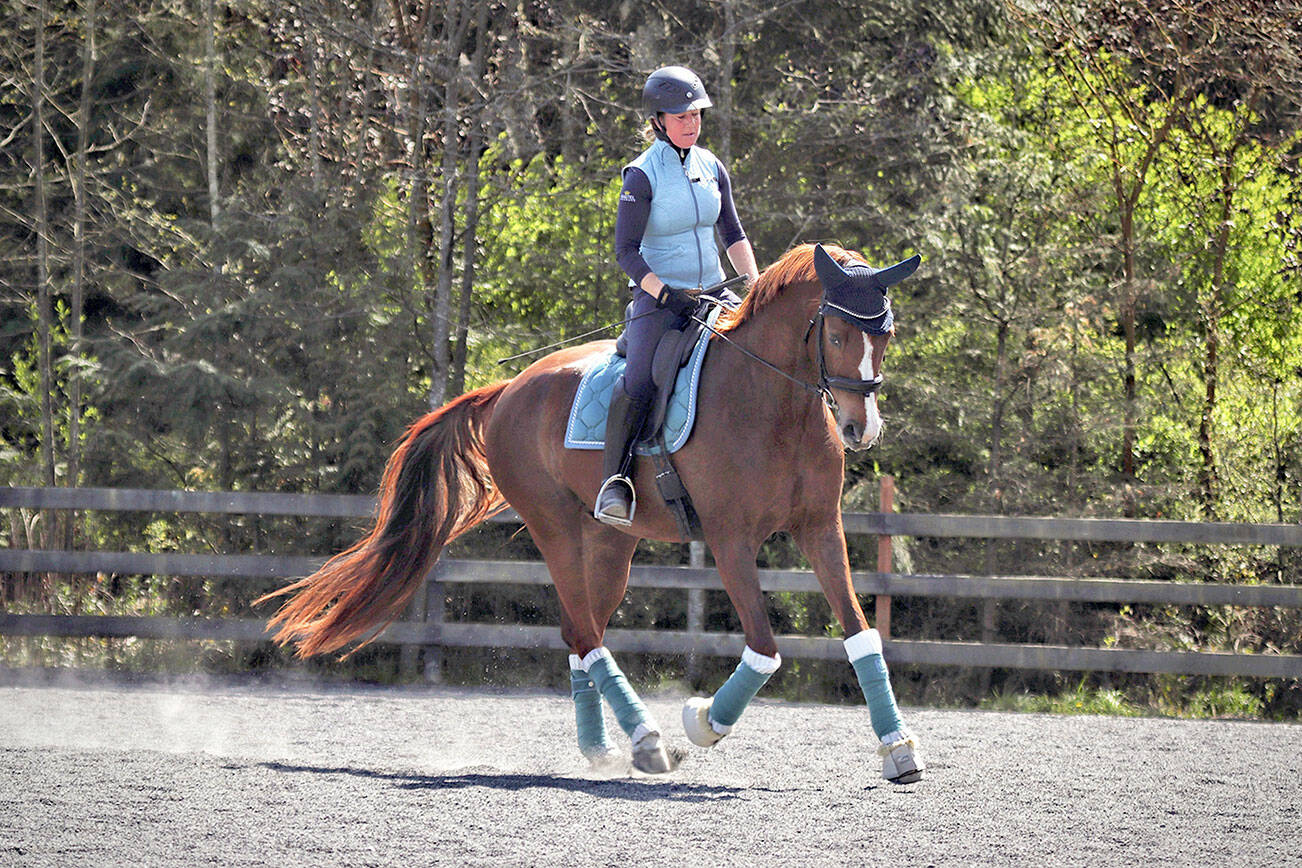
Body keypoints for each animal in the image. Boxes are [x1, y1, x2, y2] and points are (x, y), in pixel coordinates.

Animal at [256, 242, 925, 783]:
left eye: (886, 335)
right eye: (835, 335)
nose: (860, 429)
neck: (773, 402)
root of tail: (508, 391)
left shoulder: (821, 530)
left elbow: (860, 633)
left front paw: (899, 750)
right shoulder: (730, 540)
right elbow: (763, 648)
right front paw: (702, 721)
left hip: (610, 542)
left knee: (580, 633)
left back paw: (605, 748)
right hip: (552, 525)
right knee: (585, 632)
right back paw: (647, 741)